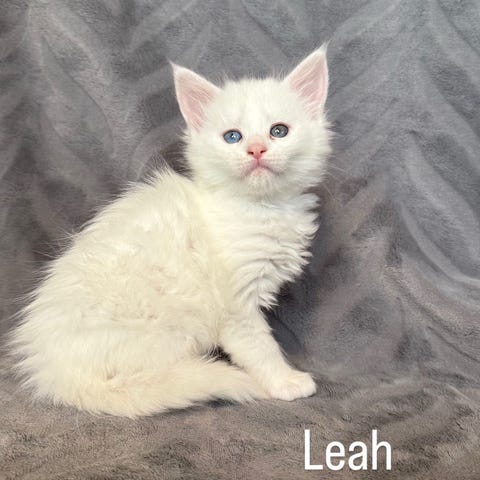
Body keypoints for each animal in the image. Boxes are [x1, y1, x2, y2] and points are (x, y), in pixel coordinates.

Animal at [9, 46, 331, 417]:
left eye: (279, 131)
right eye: (232, 137)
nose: (256, 149)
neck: (261, 208)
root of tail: (56, 375)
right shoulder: (235, 306)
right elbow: (259, 347)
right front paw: (284, 382)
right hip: (167, 326)